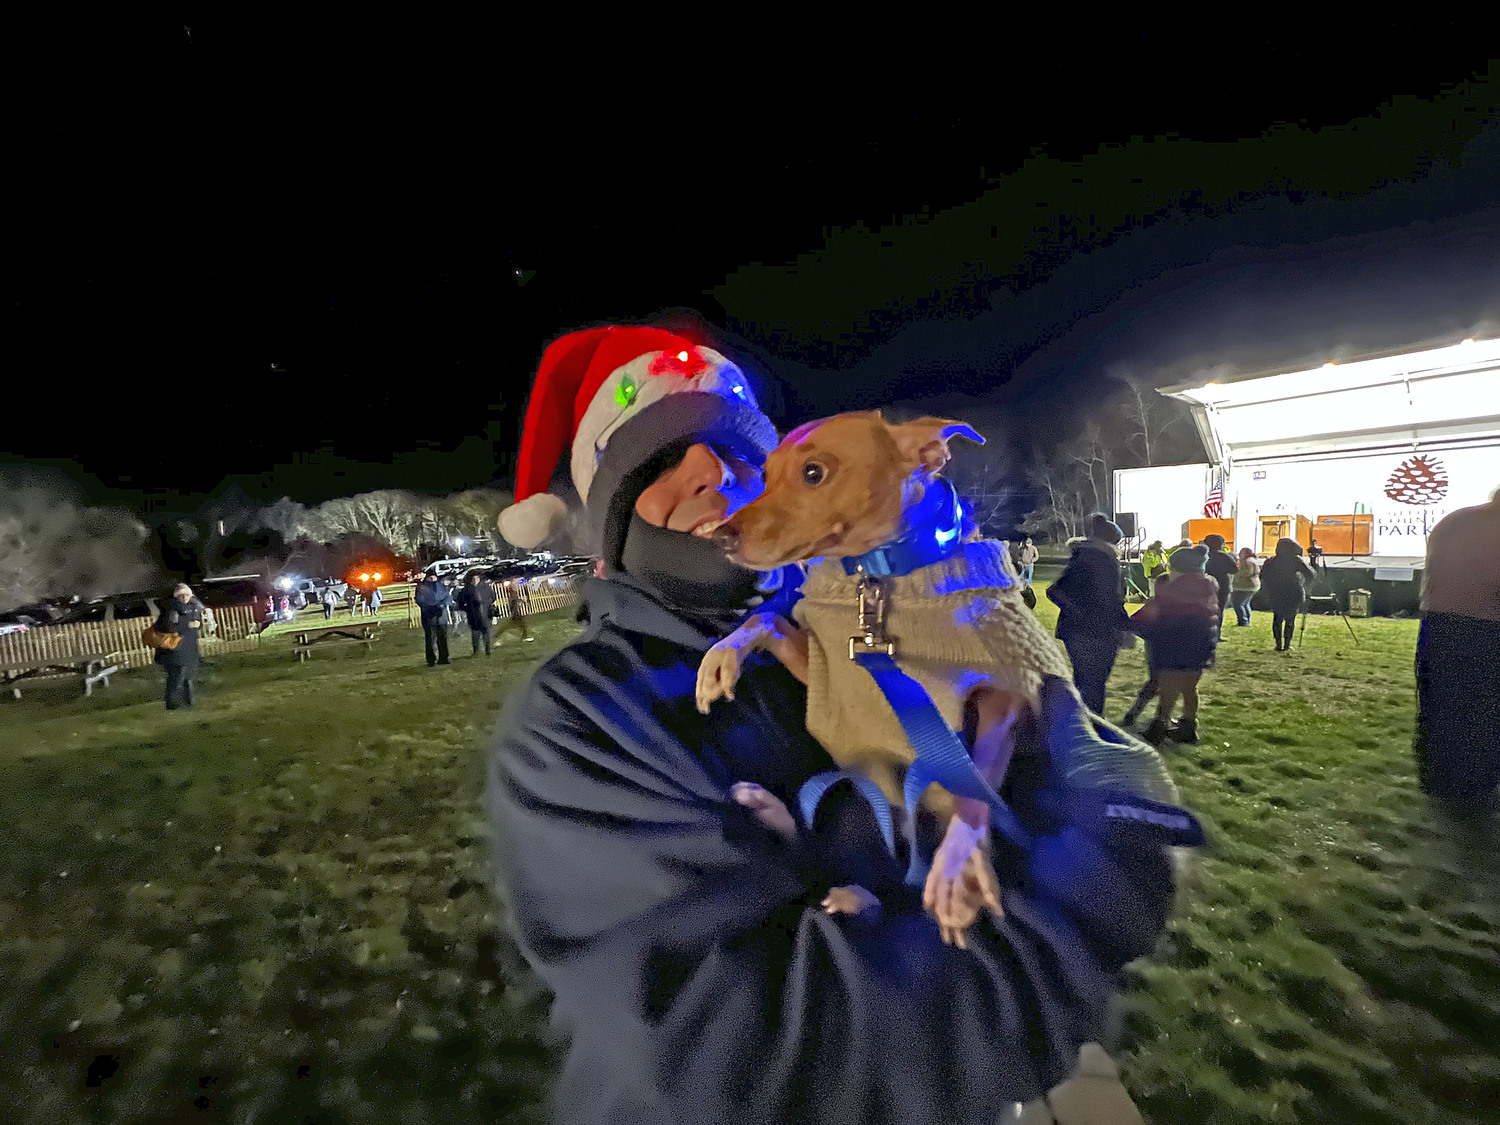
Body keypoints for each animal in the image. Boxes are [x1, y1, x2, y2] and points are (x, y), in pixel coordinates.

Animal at [696, 411, 1074, 948]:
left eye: (813, 473)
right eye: (765, 475)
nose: (719, 537)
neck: (878, 578)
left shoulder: (1007, 689)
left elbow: (974, 784)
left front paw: (958, 867)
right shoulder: (823, 667)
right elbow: (766, 620)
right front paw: (720, 657)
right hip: (865, 793)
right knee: (843, 860)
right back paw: (783, 822)